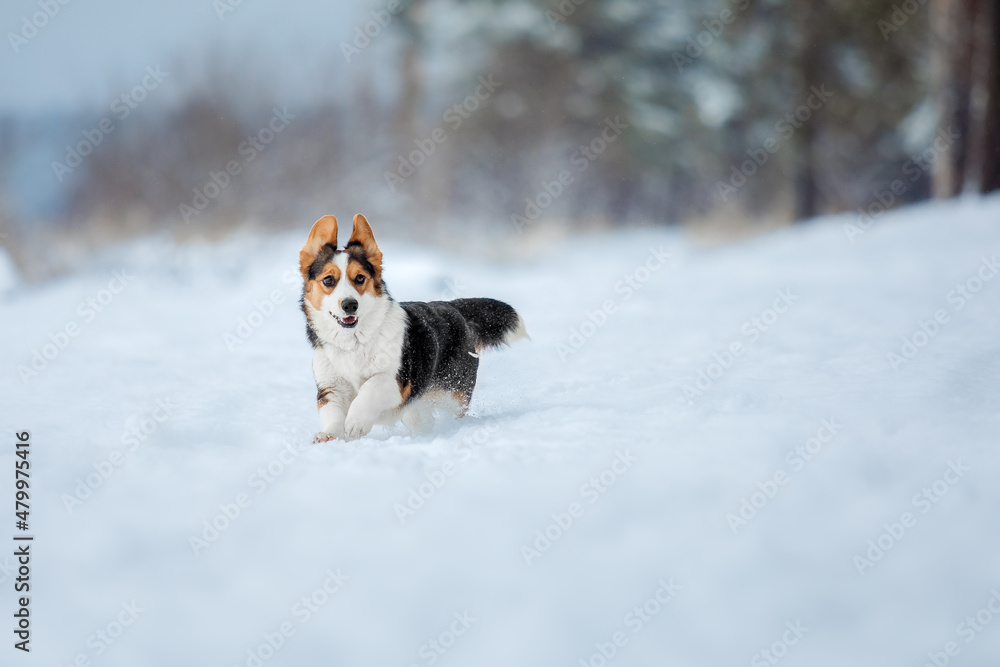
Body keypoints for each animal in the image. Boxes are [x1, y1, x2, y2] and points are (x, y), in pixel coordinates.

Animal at [298, 215, 528, 444]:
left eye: (360, 278)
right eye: (328, 280)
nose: (350, 305)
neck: (352, 342)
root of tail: (453, 308)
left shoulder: (397, 382)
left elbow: (370, 387)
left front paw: (356, 422)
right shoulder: (331, 388)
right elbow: (332, 413)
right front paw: (329, 435)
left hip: (453, 395)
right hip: (416, 410)